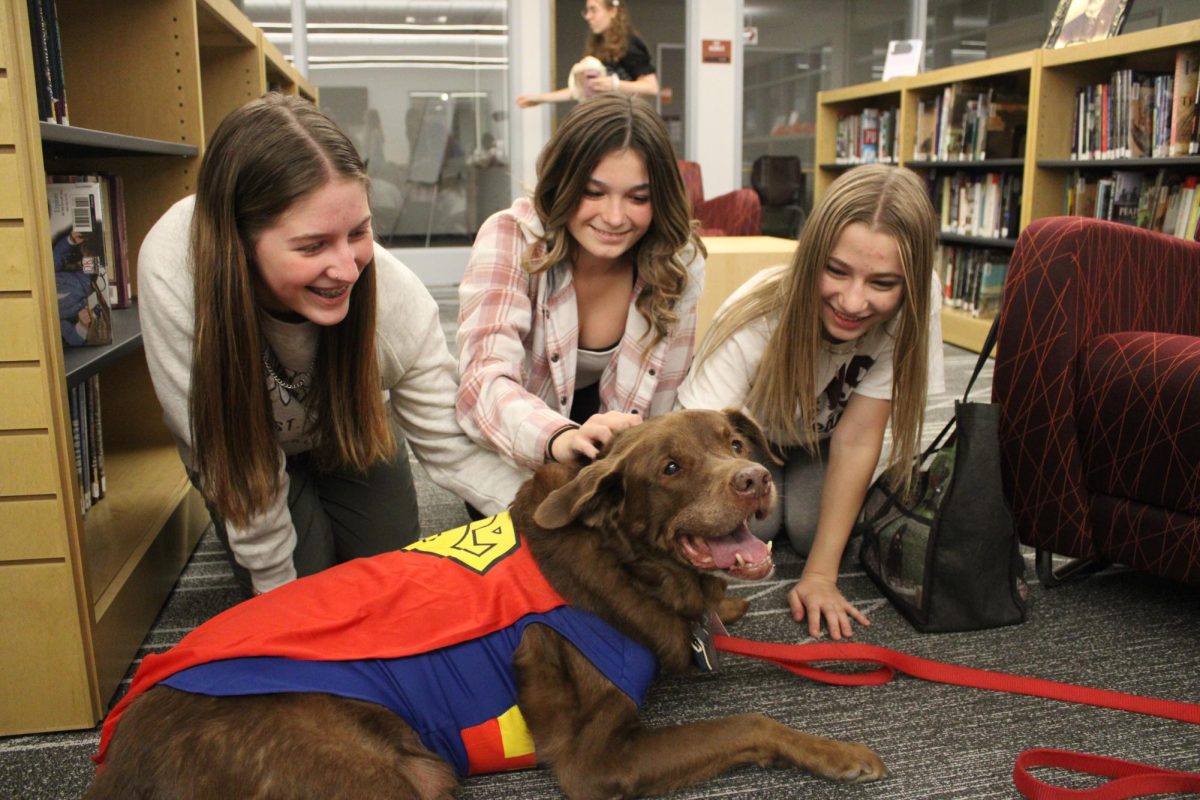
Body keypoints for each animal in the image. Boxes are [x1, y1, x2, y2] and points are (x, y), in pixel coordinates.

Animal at [88, 410, 888, 796]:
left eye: (733, 442)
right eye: (670, 468)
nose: (755, 480)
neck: (617, 566)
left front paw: (728, 613)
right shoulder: (598, 758)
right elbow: (751, 722)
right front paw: (839, 752)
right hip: (394, 773)